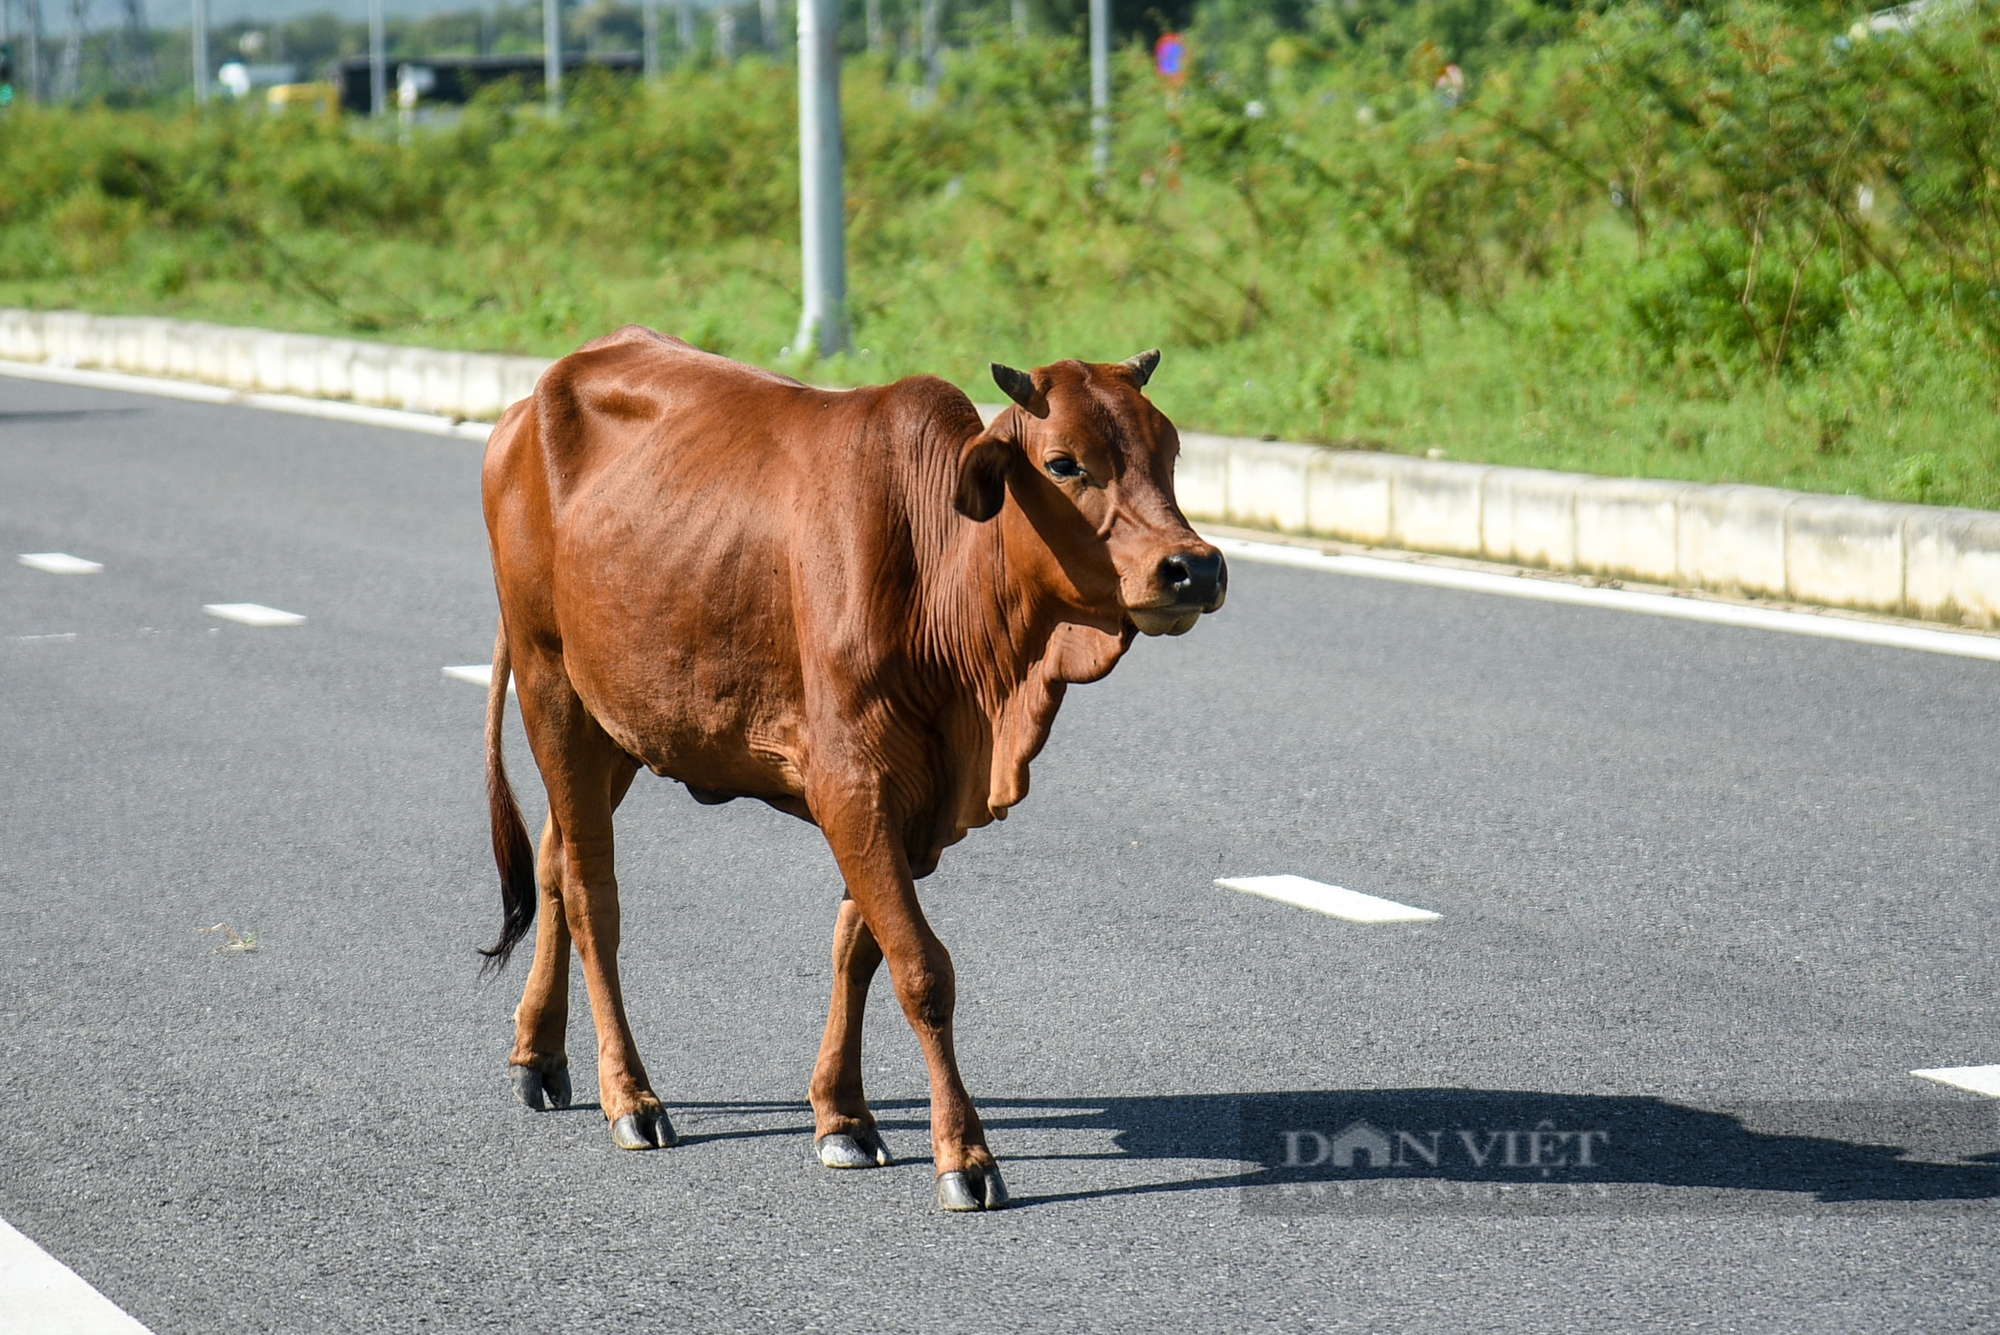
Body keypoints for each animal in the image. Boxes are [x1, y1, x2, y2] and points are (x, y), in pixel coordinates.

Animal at [482, 325, 1224, 1207]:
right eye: (1064, 462)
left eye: (1169, 449)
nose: (1194, 566)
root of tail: (530, 401)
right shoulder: (852, 785)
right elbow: (922, 969)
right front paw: (964, 1153)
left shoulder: (910, 804)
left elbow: (858, 950)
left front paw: (841, 1115)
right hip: (550, 687)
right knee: (593, 890)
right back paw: (629, 1095)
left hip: (623, 724)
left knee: (554, 860)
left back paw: (539, 1055)